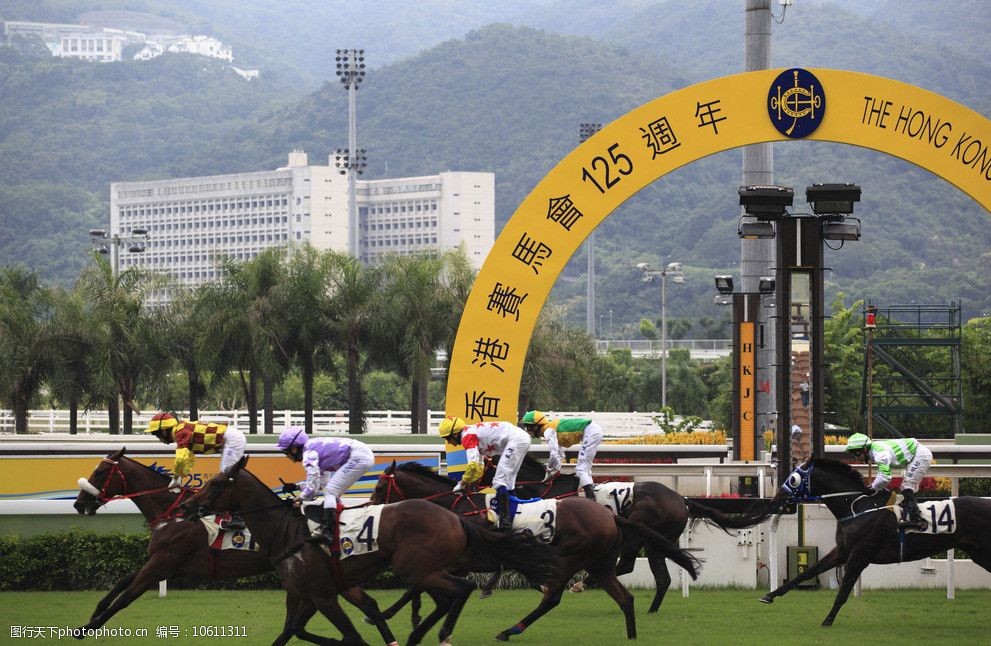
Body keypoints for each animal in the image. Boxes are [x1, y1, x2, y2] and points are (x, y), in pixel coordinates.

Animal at [70, 450, 400, 646]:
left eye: (100, 472)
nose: (79, 504)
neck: (173, 514)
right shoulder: (161, 563)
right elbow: (121, 583)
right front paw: (92, 616)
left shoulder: (164, 561)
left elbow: (126, 597)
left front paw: (87, 628)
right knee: (367, 603)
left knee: (366, 603)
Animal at [186, 456, 560, 646]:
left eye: (216, 483)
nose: (189, 505)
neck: (289, 534)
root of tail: (454, 517)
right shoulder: (304, 595)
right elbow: (290, 632)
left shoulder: (324, 595)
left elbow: (350, 636)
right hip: (425, 568)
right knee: (448, 595)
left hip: (418, 567)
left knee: (460, 589)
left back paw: (436, 634)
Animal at [372, 460, 704, 644]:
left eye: (377, 487)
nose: (373, 506)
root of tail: (682, 499)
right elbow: (416, 585)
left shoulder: (462, 561)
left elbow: (414, 585)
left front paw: (388, 615)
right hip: (610, 556)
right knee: (637, 587)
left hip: (573, 555)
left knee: (557, 596)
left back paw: (512, 628)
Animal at [512, 456, 776, 612]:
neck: (549, 492)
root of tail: (682, 500)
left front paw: (548, 586)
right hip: (657, 542)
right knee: (663, 578)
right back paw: (650, 610)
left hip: (638, 531)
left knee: (627, 564)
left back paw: (583, 583)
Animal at [760, 460, 991, 628]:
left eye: (793, 479)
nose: (774, 501)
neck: (856, 508)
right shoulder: (842, 551)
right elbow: (808, 572)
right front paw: (769, 595)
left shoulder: (859, 555)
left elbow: (843, 592)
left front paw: (827, 621)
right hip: (978, 553)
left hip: (984, 552)